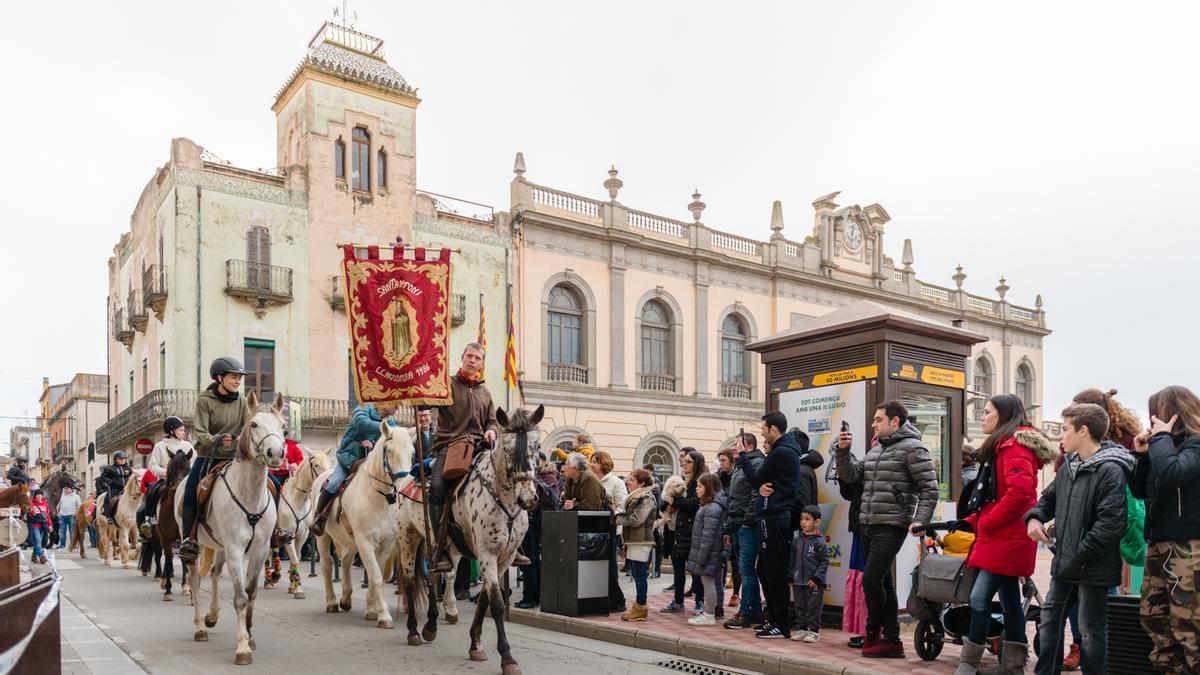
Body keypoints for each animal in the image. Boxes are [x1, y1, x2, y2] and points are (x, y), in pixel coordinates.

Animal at [175, 389, 285, 662]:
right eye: (253, 424)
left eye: (283, 426)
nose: (276, 453)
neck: (249, 494)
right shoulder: (236, 548)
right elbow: (240, 597)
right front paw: (242, 647)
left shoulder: (259, 550)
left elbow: (252, 592)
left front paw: (250, 636)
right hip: (198, 546)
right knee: (195, 582)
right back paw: (200, 627)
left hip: (221, 545)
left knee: (214, 573)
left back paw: (212, 616)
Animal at [272, 444, 328, 595]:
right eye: (316, 465)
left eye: (329, 463)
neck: (297, 500)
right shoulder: (288, 535)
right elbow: (296, 560)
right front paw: (298, 589)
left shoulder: (301, 536)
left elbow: (294, 559)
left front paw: (293, 585)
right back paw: (269, 579)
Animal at [316, 417, 415, 629]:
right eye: (389, 451)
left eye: (412, 453)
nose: (402, 487)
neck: (379, 498)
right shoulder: (366, 541)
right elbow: (376, 576)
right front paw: (384, 615)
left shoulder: (386, 544)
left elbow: (374, 575)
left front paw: (371, 610)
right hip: (324, 537)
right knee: (327, 564)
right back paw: (331, 601)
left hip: (351, 540)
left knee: (345, 560)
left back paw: (346, 598)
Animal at [396, 403, 542, 672]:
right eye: (507, 449)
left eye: (536, 448)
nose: (528, 498)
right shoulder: (486, 554)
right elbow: (497, 604)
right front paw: (507, 657)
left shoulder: (504, 558)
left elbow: (485, 600)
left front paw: (475, 644)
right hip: (407, 538)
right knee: (411, 582)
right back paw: (413, 631)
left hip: (445, 546)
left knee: (437, 575)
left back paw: (431, 625)